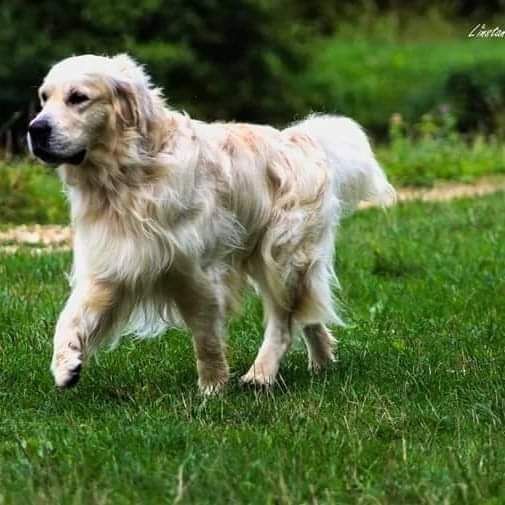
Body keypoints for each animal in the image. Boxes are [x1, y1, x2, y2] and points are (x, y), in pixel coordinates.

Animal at [27, 56, 396, 394]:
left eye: (78, 97)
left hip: (281, 256)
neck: (130, 176)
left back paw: (262, 373)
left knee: (283, 320)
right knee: (308, 312)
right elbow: (71, 317)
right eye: (44, 97)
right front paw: (66, 365)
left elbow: (205, 336)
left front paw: (212, 387)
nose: (36, 129)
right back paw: (322, 362)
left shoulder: (195, 272)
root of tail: (300, 139)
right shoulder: (115, 261)